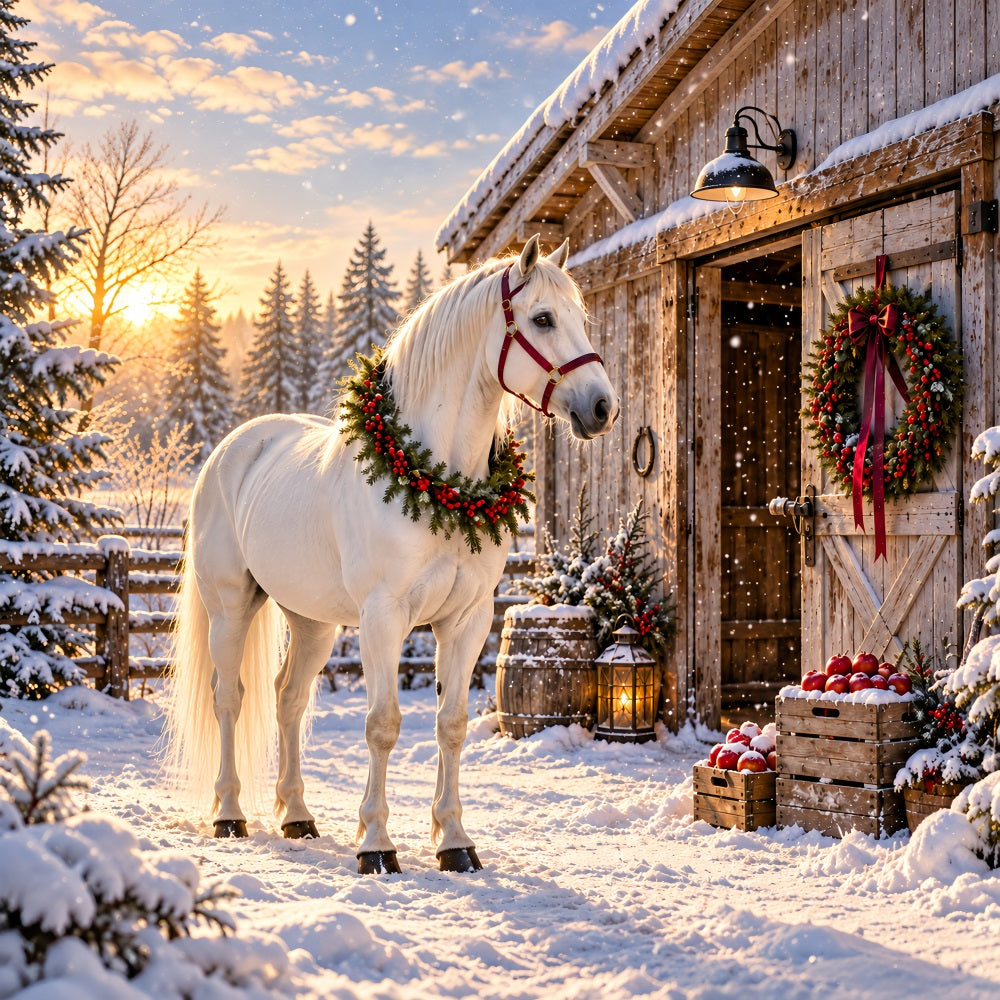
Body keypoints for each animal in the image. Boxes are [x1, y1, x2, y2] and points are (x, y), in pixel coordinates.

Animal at [164, 235, 619, 874]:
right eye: (543, 319)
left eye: (580, 317)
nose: (603, 407)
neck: (440, 482)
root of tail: (232, 449)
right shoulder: (384, 618)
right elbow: (382, 725)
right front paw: (376, 845)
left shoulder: (467, 620)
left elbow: (451, 725)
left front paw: (455, 842)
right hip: (230, 607)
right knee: (229, 699)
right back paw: (229, 814)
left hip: (312, 623)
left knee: (288, 700)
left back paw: (297, 816)